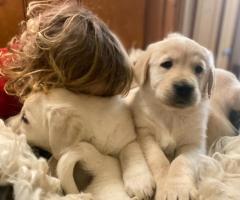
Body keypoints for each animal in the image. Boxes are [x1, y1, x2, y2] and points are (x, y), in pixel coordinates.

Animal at [125, 33, 214, 199]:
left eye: (199, 69)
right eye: (166, 64)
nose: (184, 87)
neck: (172, 112)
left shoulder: (193, 143)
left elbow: (181, 162)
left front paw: (179, 188)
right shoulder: (145, 134)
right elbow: (159, 160)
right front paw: (165, 185)